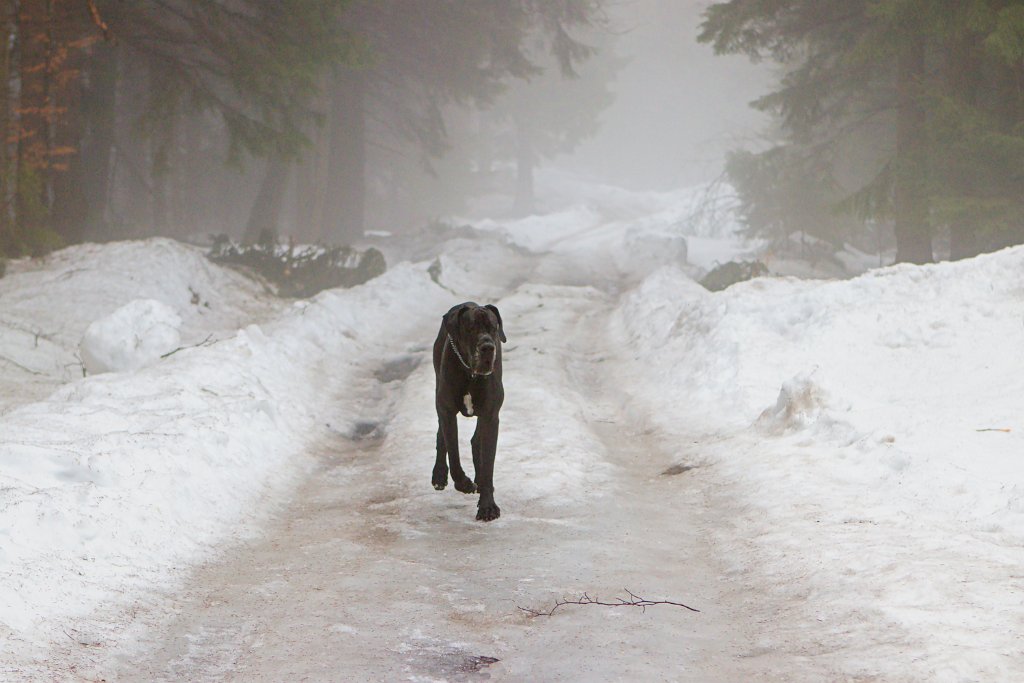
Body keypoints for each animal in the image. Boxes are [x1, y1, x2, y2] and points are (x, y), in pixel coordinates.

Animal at [434, 301, 505, 520]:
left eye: (493, 327)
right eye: (471, 328)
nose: (487, 347)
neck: (470, 374)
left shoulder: (490, 416)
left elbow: (488, 463)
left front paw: (487, 506)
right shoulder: (447, 412)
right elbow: (454, 453)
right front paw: (464, 483)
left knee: (476, 442)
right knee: (441, 437)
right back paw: (439, 474)